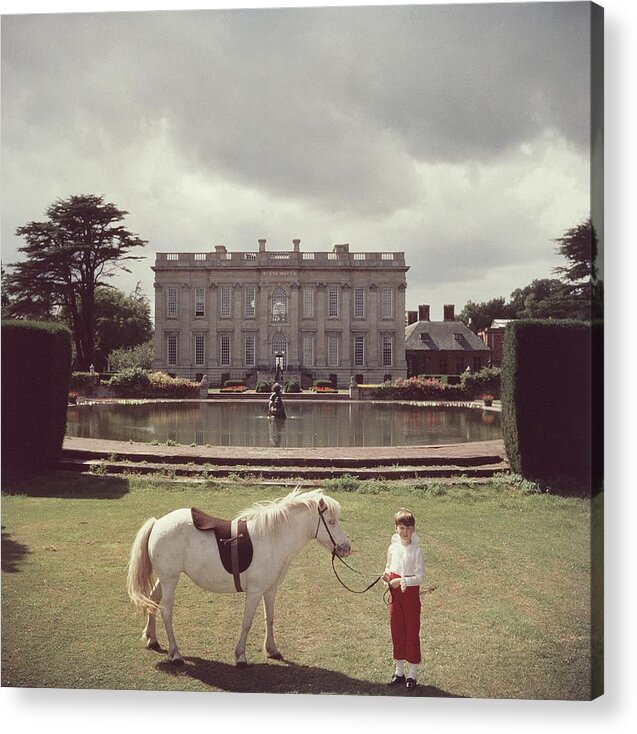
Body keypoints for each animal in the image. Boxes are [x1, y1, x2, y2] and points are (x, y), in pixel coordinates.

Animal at [126, 488, 350, 668]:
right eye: (331, 522)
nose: (346, 548)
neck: (273, 538)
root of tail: (157, 523)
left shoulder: (270, 589)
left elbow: (270, 618)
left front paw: (272, 650)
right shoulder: (255, 591)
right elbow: (247, 623)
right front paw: (240, 656)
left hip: (164, 578)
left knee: (152, 601)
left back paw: (152, 639)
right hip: (170, 579)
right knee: (166, 612)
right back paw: (176, 654)